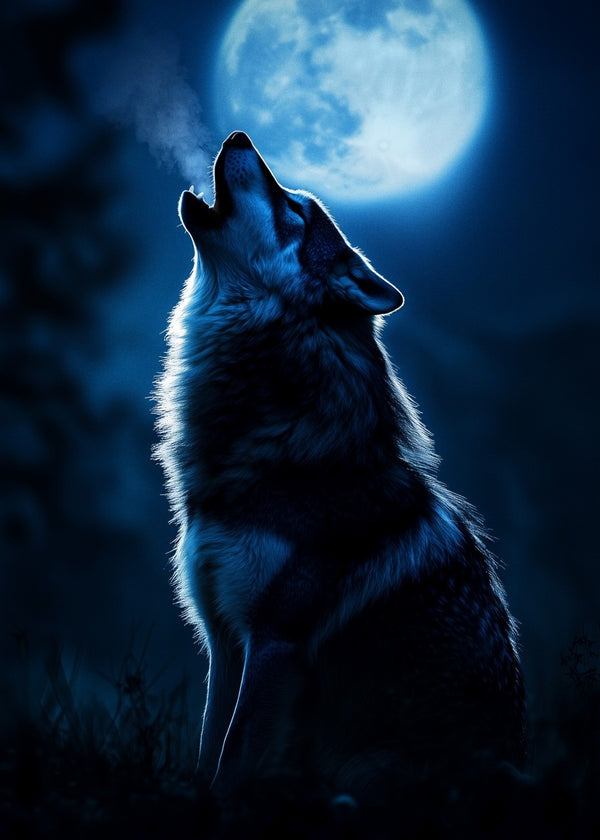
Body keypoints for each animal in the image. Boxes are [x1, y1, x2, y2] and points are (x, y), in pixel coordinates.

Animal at [154, 131, 525, 802]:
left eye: (295, 211)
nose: (239, 135)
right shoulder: (224, 642)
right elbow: (207, 751)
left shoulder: (273, 641)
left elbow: (232, 760)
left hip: (366, 769)